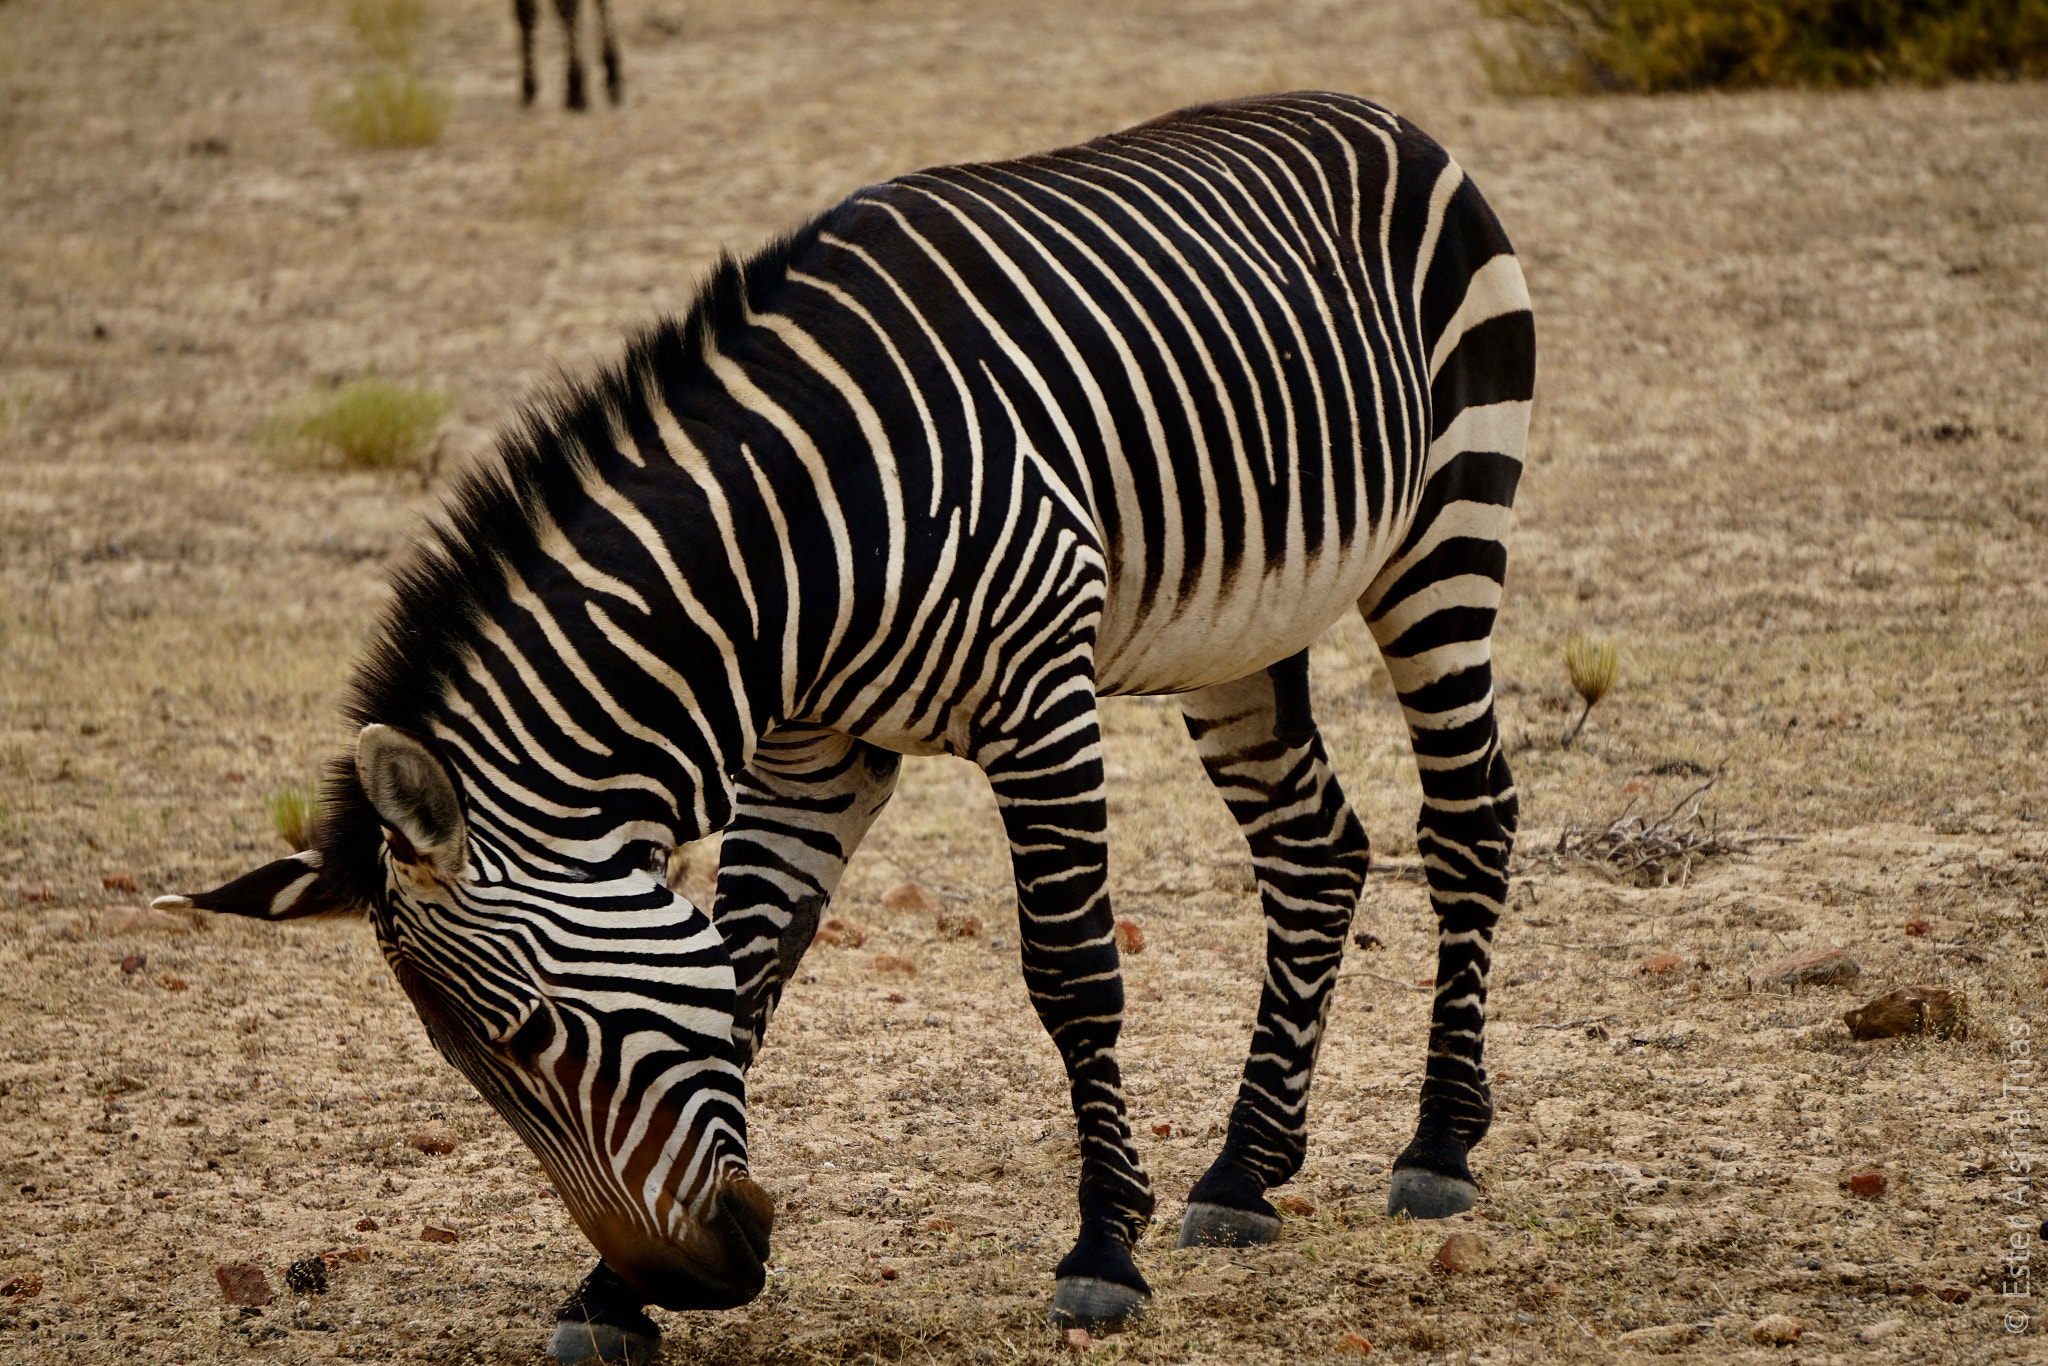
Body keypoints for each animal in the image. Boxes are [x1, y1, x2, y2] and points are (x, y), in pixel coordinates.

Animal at [157, 91, 1533, 1363]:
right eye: (469, 1078)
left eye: (532, 1034)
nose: (701, 1275)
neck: (784, 551)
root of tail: (1370, 109)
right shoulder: (811, 752)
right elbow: (744, 974)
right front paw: (610, 1295)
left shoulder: (1038, 698)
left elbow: (1072, 976)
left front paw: (1100, 1251)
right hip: (1239, 626)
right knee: (1315, 849)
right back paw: (1245, 1167)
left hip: (1443, 532)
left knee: (1468, 818)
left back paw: (1436, 1144)